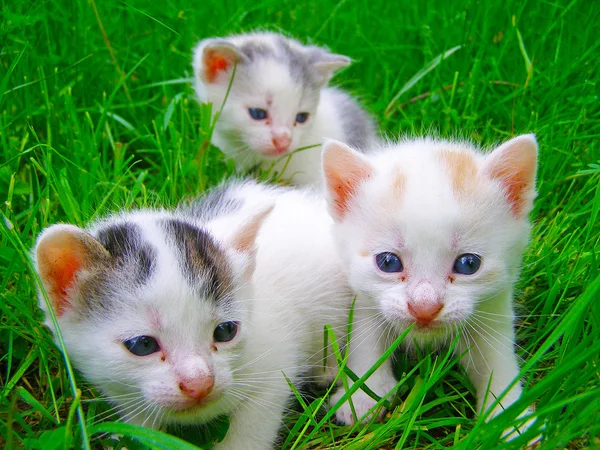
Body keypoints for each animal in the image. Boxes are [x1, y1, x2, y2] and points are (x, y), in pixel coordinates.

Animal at [324, 135, 540, 438]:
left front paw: (509, 417)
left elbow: (496, 358)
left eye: (469, 264)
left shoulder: (494, 307)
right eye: (388, 262)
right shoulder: (364, 300)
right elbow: (366, 340)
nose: (424, 307)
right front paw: (363, 397)